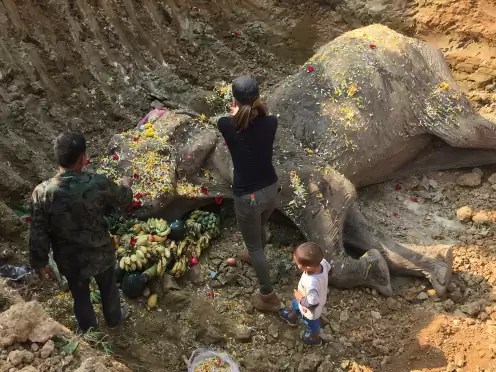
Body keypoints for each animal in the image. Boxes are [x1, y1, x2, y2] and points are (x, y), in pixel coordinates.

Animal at [101, 24, 496, 296]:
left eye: (115, 151)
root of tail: (394, 33)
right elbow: (358, 222)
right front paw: (435, 271)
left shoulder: (263, 162)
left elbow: (333, 201)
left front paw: (376, 272)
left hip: (427, 86)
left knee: (466, 129)